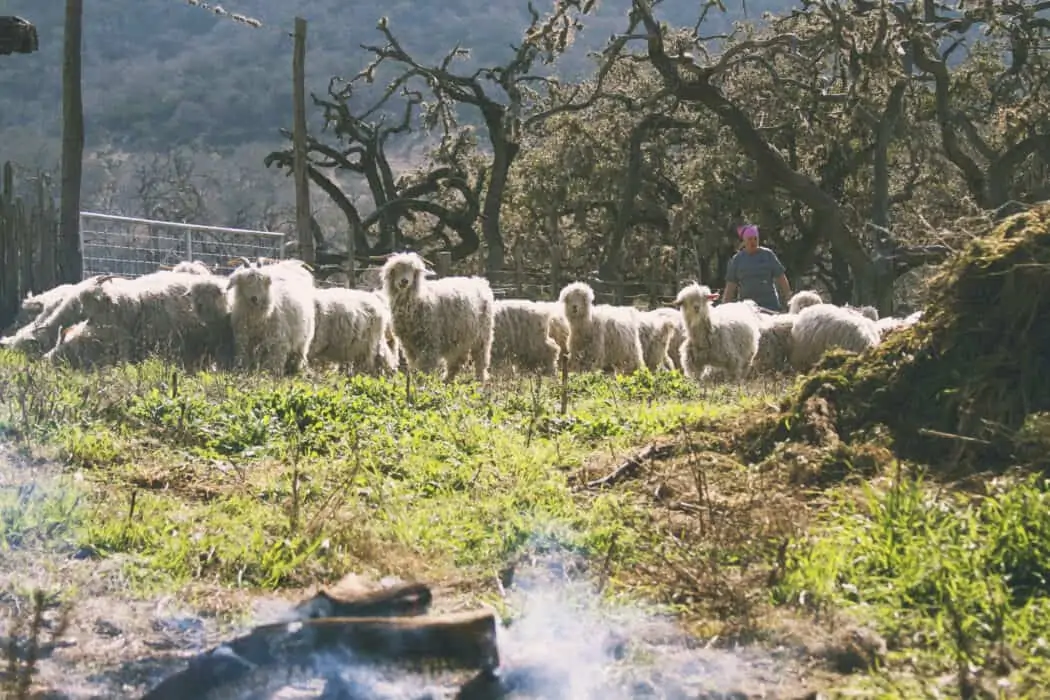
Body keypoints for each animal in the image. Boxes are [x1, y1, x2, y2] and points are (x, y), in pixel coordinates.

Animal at [382, 252, 495, 384]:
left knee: (480, 358)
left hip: (483, 334)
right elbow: (414, 364)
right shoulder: (408, 344)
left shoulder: (430, 341)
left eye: (414, 270)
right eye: (395, 269)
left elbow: (425, 366)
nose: (404, 281)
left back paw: (480, 379)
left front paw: (423, 383)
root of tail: (480, 281)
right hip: (462, 335)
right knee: (458, 360)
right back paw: (447, 379)